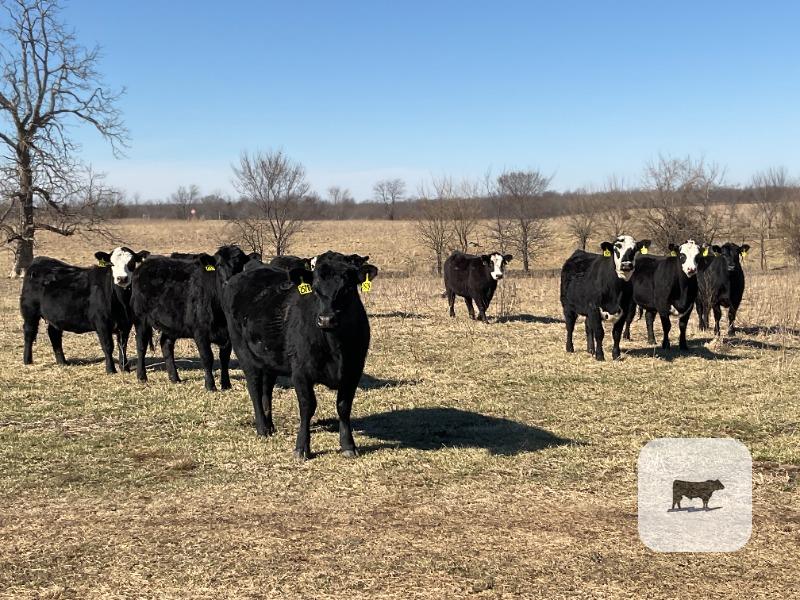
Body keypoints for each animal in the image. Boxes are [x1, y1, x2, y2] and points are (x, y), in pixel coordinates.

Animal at [20, 247, 150, 373]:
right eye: (111, 264)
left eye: (131, 262)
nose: (122, 278)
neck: (120, 302)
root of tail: (39, 260)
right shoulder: (102, 323)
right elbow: (108, 346)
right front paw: (111, 370)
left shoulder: (126, 323)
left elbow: (122, 345)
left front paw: (125, 368)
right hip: (30, 311)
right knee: (29, 333)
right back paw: (27, 361)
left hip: (55, 316)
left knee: (54, 334)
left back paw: (62, 362)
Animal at [130, 245, 251, 391]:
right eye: (219, 265)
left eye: (240, 265)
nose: (228, 282)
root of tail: (146, 263)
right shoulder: (200, 332)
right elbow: (207, 357)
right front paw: (210, 385)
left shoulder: (228, 334)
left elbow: (224, 358)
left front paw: (226, 384)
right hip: (140, 318)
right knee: (141, 345)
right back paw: (142, 376)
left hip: (171, 323)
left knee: (166, 344)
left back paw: (174, 378)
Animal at [221, 252, 377, 460]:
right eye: (315, 289)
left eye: (348, 288)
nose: (326, 319)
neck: (335, 347)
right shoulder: (301, 373)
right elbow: (307, 406)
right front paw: (302, 447)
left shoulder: (353, 371)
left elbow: (343, 406)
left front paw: (348, 445)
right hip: (243, 352)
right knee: (254, 388)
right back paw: (262, 428)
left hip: (269, 358)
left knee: (266, 389)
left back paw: (270, 424)